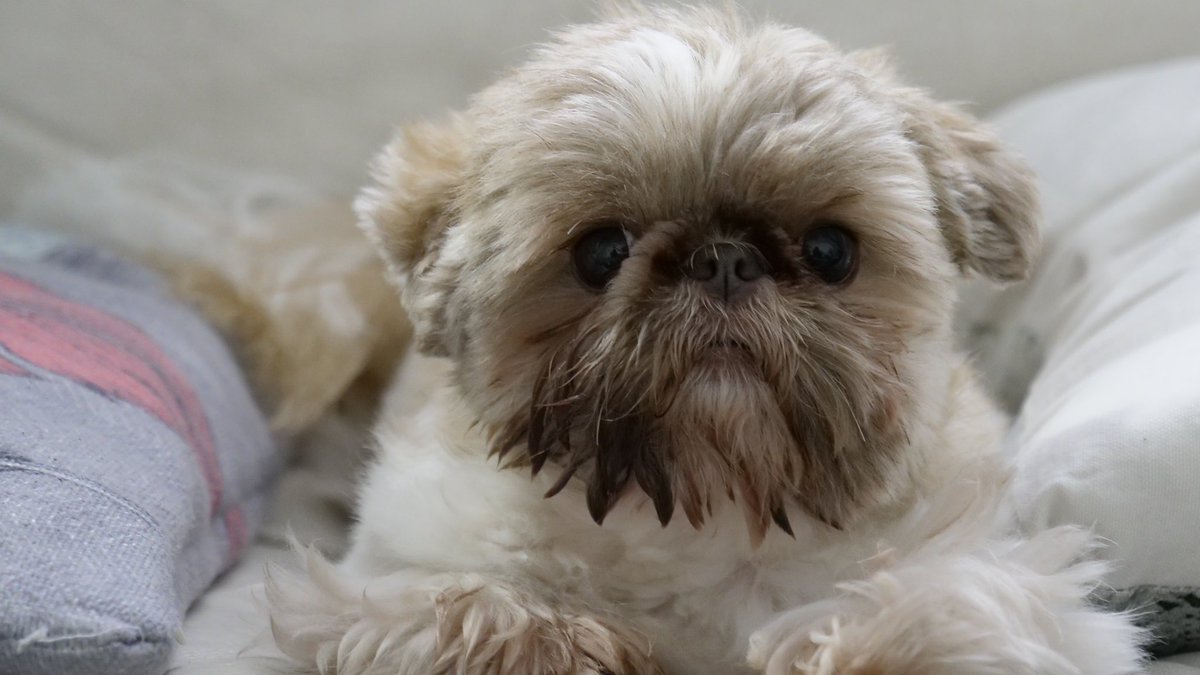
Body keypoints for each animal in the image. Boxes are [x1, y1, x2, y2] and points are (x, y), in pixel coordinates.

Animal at [267, 5, 1147, 672]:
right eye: (602, 252)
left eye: (832, 250)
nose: (724, 258)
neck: (709, 505)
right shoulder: (373, 587)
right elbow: (474, 610)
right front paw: (564, 640)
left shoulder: (1010, 582)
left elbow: (941, 605)